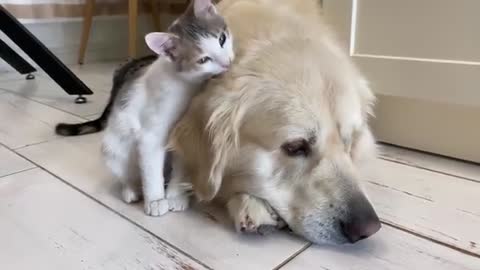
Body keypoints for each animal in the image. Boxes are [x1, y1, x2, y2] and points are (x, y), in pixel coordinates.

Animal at [55, 0, 235, 216]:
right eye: (203, 60)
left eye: (222, 39)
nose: (227, 63)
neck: (186, 85)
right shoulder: (151, 134)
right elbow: (150, 168)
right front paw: (156, 200)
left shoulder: (185, 132)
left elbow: (182, 163)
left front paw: (176, 196)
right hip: (114, 150)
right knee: (128, 174)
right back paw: (132, 190)